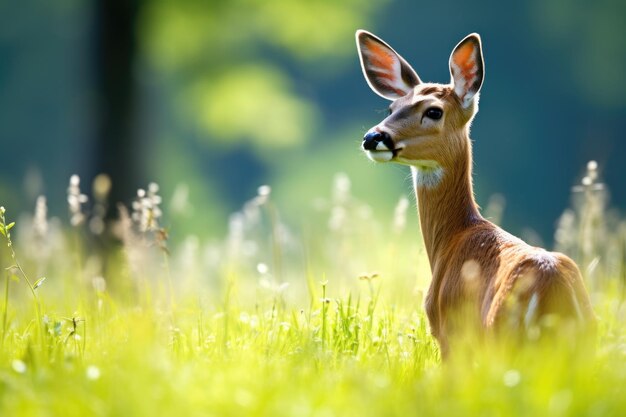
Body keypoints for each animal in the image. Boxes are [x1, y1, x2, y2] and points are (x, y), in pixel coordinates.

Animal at [354, 29, 592, 356]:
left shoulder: (449, 333)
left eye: (433, 111)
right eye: (392, 108)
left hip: (501, 336)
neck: (454, 237)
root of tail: (554, 292)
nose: (373, 137)